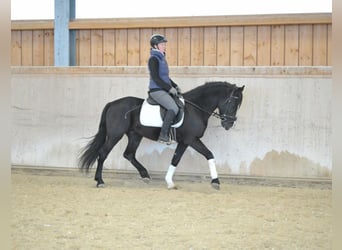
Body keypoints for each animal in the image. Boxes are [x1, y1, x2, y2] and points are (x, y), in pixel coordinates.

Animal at [79, 82, 244, 189]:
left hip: (135, 135)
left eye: (238, 105)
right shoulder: (192, 139)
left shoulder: (184, 142)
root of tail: (112, 104)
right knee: (103, 153)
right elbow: (209, 154)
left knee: (129, 154)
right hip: (115, 135)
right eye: (232, 102)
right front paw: (216, 181)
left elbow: (175, 159)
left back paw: (145, 175)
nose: (229, 124)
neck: (195, 109)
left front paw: (169, 181)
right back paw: (100, 181)